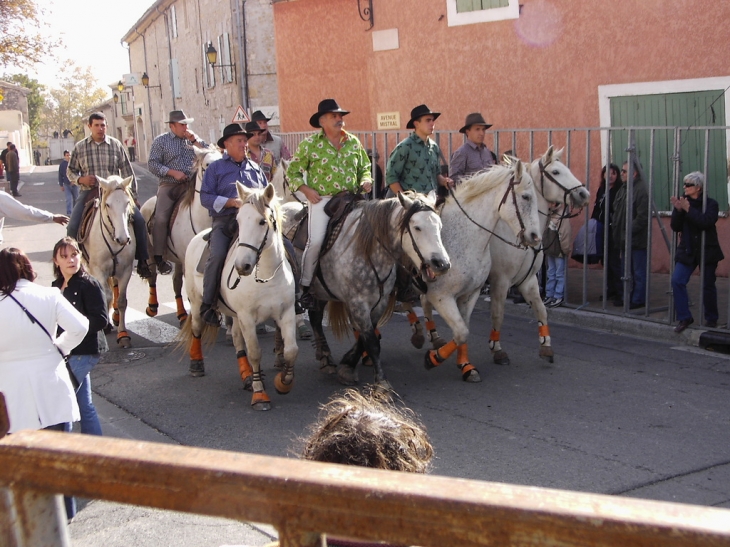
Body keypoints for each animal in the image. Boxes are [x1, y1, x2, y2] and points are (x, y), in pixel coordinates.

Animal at [80, 176, 136, 346]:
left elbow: (122, 300)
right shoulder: (99, 271)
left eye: (127, 202)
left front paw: (123, 335)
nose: (123, 239)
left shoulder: (126, 270)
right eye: (108, 205)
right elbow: (107, 295)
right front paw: (105, 326)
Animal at [140, 146, 222, 326]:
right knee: (153, 277)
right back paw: (152, 307)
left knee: (176, 282)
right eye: (207, 164)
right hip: (151, 254)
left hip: (177, 260)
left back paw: (182, 314)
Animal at [181, 184, 298, 412]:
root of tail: (197, 237)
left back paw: (247, 376)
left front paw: (283, 383)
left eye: (262, 221)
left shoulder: (286, 313)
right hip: (198, 303)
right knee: (197, 329)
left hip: (234, 314)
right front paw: (260, 395)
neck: (266, 276)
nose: (242, 266)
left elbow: (291, 350)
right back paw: (196, 365)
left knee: (236, 339)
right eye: (239, 221)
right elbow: (254, 352)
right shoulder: (247, 317)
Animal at [416, 159, 540, 382]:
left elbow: (464, 330)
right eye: (526, 196)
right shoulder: (442, 297)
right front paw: (433, 359)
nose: (535, 237)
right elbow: (460, 331)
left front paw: (466, 366)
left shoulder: (470, 294)